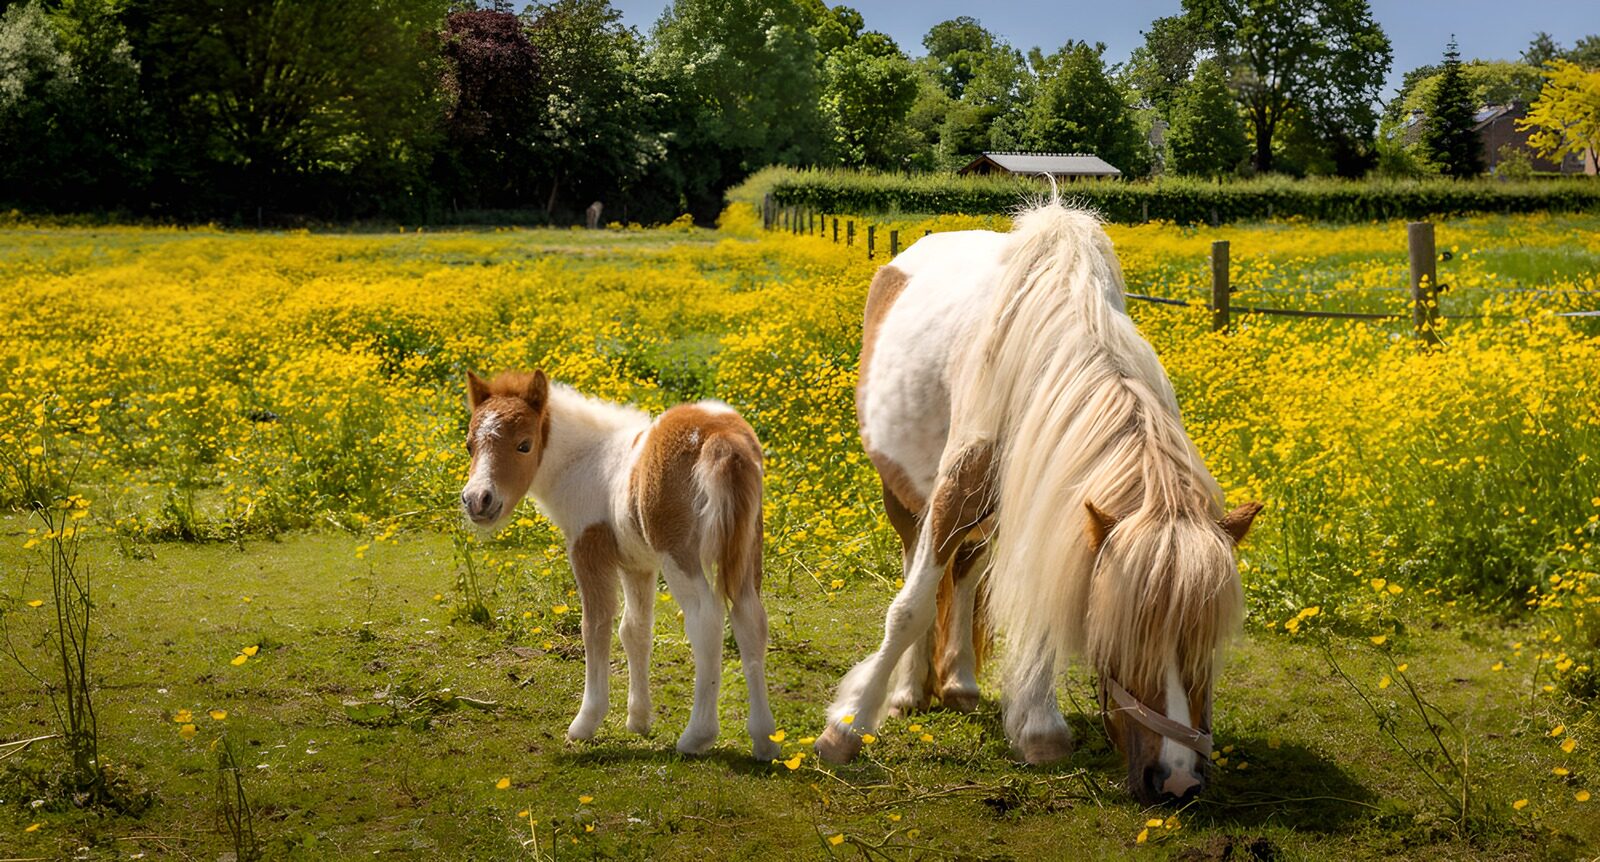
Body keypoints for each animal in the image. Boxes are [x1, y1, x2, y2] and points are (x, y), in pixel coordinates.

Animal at [460, 370, 780, 761]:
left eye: (524, 445)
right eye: (469, 445)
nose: (478, 500)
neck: (585, 461)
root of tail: (723, 437)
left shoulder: (589, 549)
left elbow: (595, 627)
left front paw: (585, 723)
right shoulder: (637, 564)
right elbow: (635, 630)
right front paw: (639, 720)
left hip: (679, 554)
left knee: (706, 618)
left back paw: (697, 736)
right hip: (747, 547)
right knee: (750, 618)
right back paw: (765, 740)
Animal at [815, 200, 1261, 805]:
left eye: (1206, 643)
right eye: (1121, 639)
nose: (1177, 781)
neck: (1050, 351)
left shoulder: (1049, 507)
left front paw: (1039, 729)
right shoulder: (953, 493)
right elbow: (908, 609)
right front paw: (846, 728)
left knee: (964, 575)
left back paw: (959, 682)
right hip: (906, 495)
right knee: (917, 569)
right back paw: (909, 689)